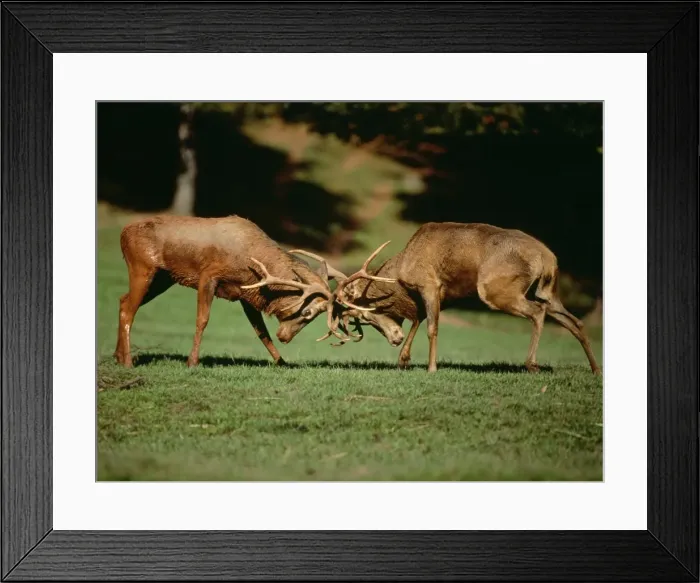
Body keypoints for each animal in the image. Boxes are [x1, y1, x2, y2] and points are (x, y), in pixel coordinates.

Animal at [113, 214, 403, 368]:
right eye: (307, 312)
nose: (285, 336)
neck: (250, 262)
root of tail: (122, 233)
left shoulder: (245, 293)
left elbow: (260, 330)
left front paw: (281, 362)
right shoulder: (209, 275)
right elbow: (202, 320)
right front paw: (192, 362)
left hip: (163, 279)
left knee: (122, 300)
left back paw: (118, 356)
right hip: (143, 267)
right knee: (129, 309)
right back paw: (128, 361)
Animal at [331, 222, 602, 375]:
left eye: (367, 315)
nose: (393, 339)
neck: (400, 275)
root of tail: (548, 257)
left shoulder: (430, 284)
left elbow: (431, 328)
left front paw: (431, 368)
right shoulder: (437, 295)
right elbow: (418, 320)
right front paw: (403, 361)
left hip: (495, 289)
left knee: (537, 312)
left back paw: (532, 364)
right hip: (548, 292)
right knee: (575, 321)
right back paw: (595, 369)